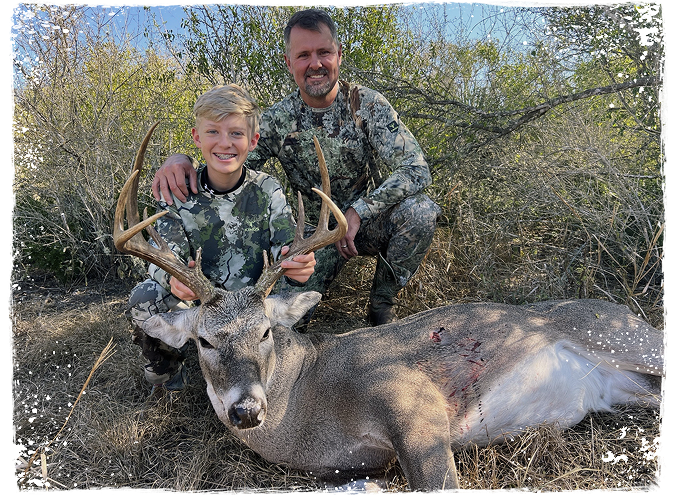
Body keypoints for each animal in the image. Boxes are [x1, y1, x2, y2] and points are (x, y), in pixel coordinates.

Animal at [114, 123, 666, 494]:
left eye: (267, 332)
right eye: (204, 340)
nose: (245, 410)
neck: (308, 404)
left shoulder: (413, 400)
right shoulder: (349, 467)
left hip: (625, 336)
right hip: (634, 386)